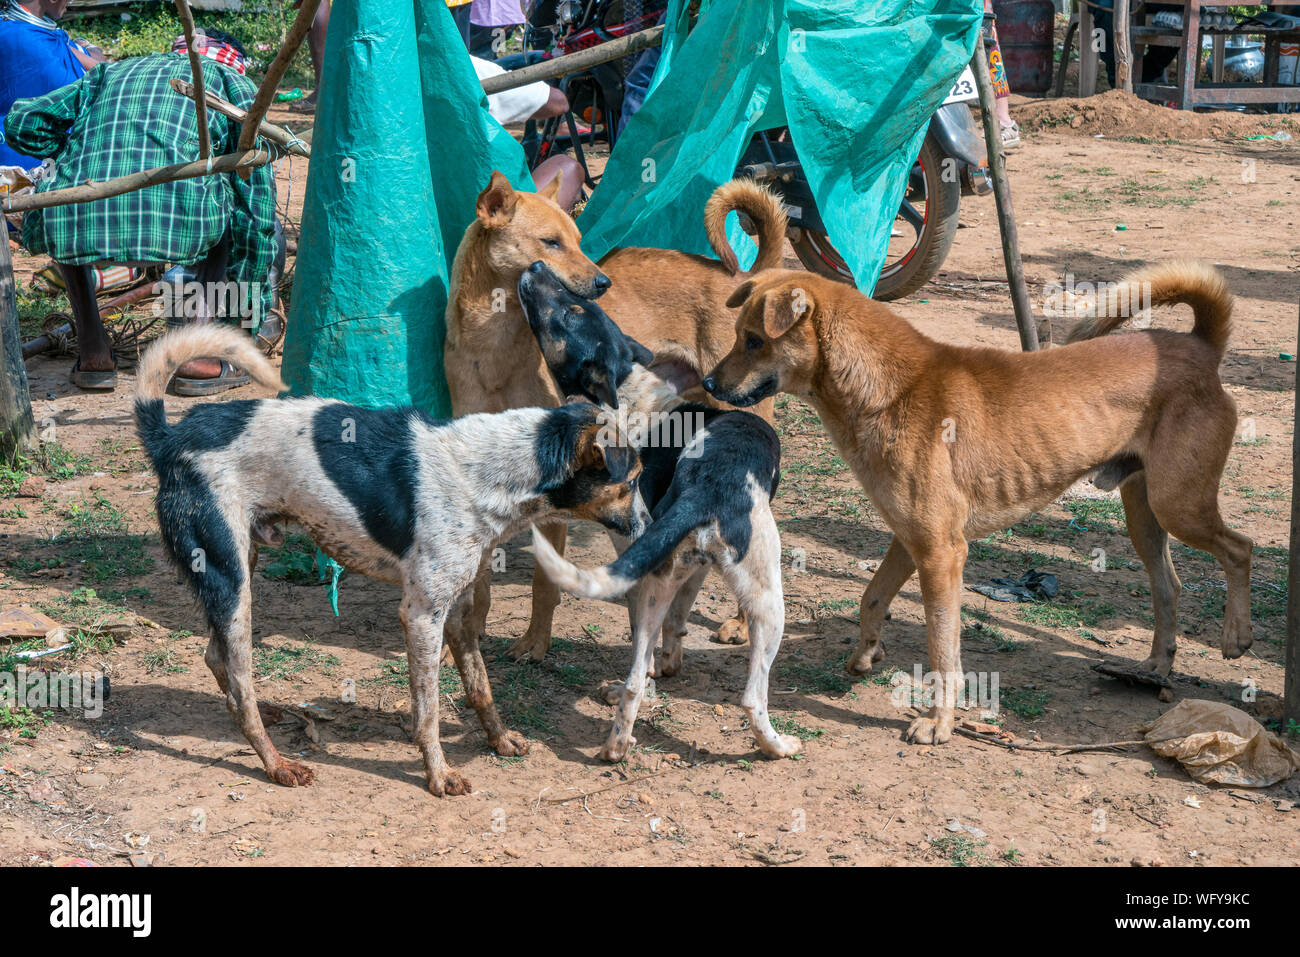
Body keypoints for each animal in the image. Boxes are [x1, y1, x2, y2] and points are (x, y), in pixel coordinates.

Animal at [131, 325, 650, 795]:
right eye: (632, 482)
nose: (649, 527)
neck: (497, 471)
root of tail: (169, 438)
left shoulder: (458, 609)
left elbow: (480, 686)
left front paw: (500, 741)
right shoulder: (421, 616)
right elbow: (430, 711)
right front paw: (439, 776)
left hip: (240, 564)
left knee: (215, 656)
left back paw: (270, 714)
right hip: (230, 578)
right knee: (240, 689)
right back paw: (277, 764)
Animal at [447, 171, 785, 660]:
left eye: (577, 240)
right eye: (550, 242)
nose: (602, 282)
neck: (495, 348)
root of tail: (745, 277)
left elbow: (544, 583)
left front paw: (534, 643)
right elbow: (479, 587)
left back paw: (740, 624)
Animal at [512, 261, 795, 764]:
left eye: (571, 309)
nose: (537, 265)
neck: (628, 397)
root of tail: (704, 487)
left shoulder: (670, 568)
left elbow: (670, 628)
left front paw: (664, 665)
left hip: (665, 578)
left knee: (633, 680)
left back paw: (618, 740)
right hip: (768, 600)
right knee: (752, 697)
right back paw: (776, 745)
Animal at [707, 263, 1253, 748]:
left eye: (754, 340)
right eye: (737, 334)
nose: (710, 385)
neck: (888, 389)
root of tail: (1200, 346)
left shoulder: (941, 554)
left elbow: (943, 652)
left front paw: (938, 724)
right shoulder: (910, 540)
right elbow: (872, 597)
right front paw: (865, 656)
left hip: (1179, 505)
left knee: (1240, 548)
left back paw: (1236, 635)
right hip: (1145, 515)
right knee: (1169, 585)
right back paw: (1157, 665)